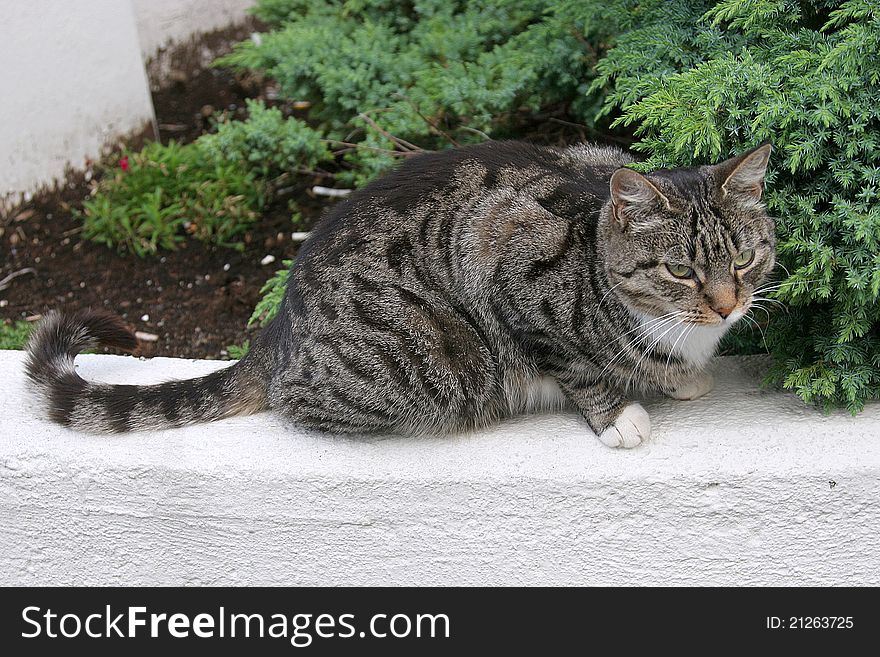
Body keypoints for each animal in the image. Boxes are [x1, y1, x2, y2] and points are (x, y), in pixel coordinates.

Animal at [24, 138, 772, 446]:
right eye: (680, 271)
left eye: (743, 258)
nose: (727, 304)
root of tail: (277, 332)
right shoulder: (501, 250)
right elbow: (576, 365)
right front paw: (618, 415)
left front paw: (679, 377)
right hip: (423, 371)